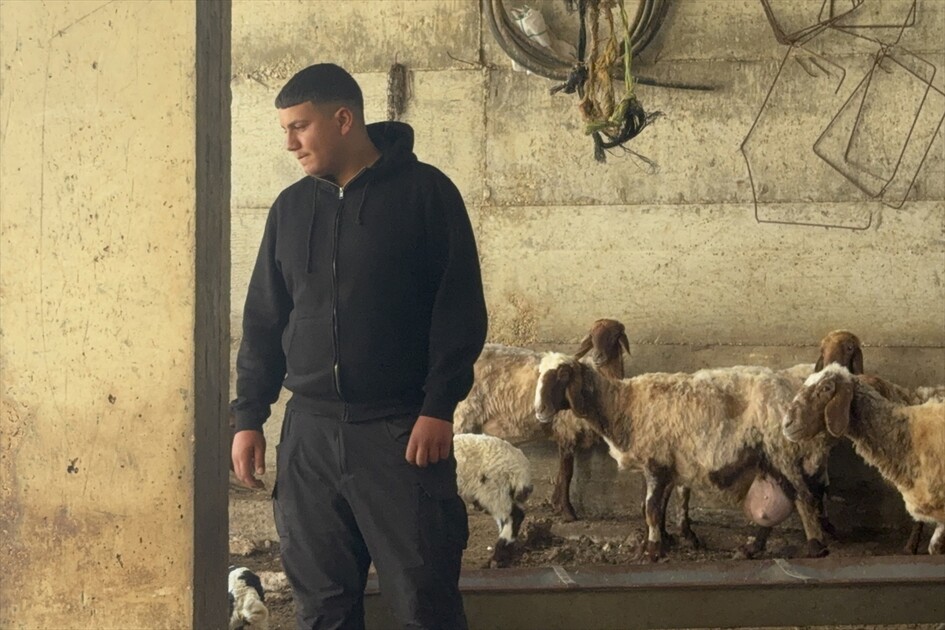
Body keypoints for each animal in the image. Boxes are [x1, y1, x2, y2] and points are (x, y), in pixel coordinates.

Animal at [453, 318, 629, 522]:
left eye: (614, 336)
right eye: (592, 336)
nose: (598, 357)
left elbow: (563, 473)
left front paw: (556, 506)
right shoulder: (566, 430)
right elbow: (567, 472)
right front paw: (567, 511)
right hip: (462, 415)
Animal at [533, 353, 833, 561]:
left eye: (562, 374)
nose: (539, 411)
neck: (623, 405)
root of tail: (790, 389)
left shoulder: (656, 462)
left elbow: (652, 509)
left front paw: (653, 551)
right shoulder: (667, 463)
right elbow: (656, 507)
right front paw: (662, 541)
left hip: (781, 452)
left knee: (802, 497)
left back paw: (815, 548)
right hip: (768, 459)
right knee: (777, 505)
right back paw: (752, 548)